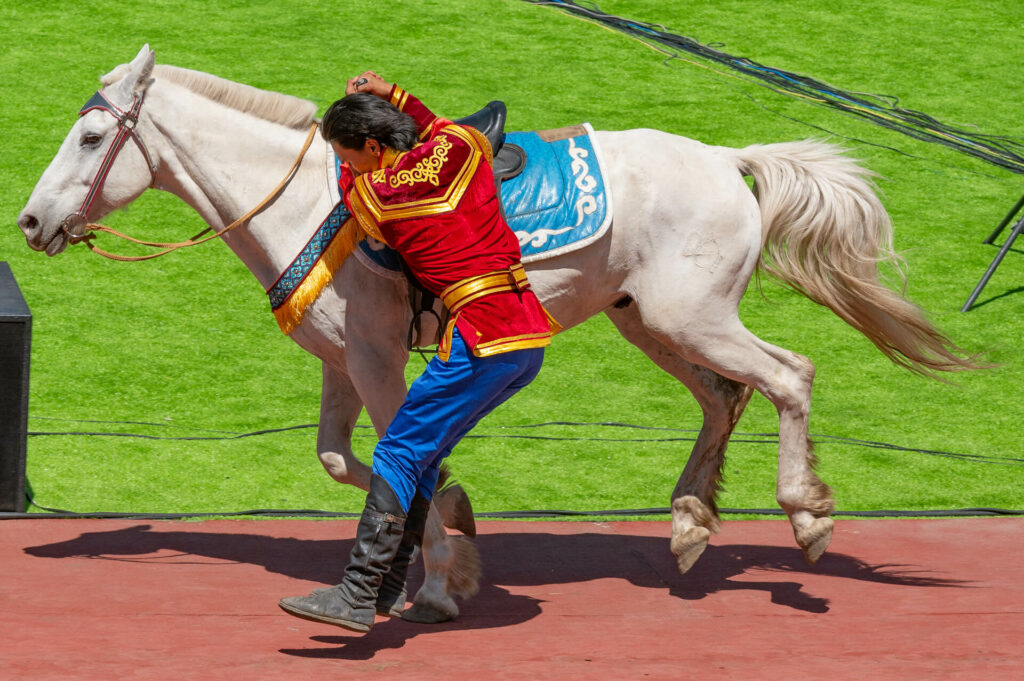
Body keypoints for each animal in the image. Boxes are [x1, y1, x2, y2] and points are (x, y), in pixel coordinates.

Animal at [18, 46, 974, 622]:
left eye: (93, 135)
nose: (30, 220)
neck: (313, 204)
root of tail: (726, 158)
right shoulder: (341, 359)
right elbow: (343, 457)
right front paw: (454, 522)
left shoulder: (377, 359)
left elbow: (401, 454)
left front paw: (445, 578)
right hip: (652, 321)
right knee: (724, 395)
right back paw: (691, 522)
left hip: (692, 317)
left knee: (788, 373)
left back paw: (806, 514)